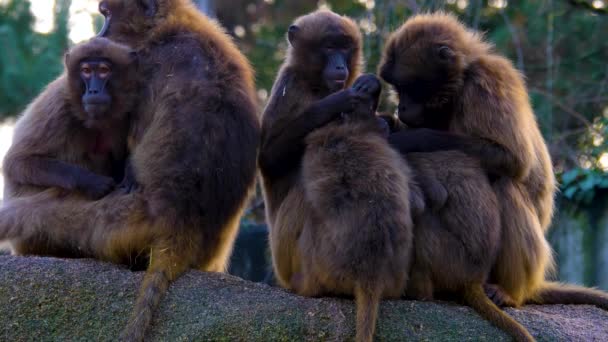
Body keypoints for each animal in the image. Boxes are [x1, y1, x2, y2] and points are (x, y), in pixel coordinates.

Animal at [2, 37, 138, 256]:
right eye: (86, 71)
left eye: (103, 70)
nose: (93, 90)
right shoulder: (58, 103)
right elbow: (17, 162)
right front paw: (90, 181)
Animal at [255, 11, 414, 342]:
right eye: (329, 48)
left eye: (344, 48)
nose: (341, 66)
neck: (315, 84)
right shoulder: (288, 87)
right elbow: (269, 158)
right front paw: (340, 101)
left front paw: (370, 91)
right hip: (286, 259)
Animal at [380, 12, 608, 312]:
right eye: (397, 88)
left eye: (408, 87)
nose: (401, 107)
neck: (461, 82)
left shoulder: (486, 80)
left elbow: (513, 160)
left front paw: (408, 139)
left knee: (506, 184)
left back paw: (509, 292)